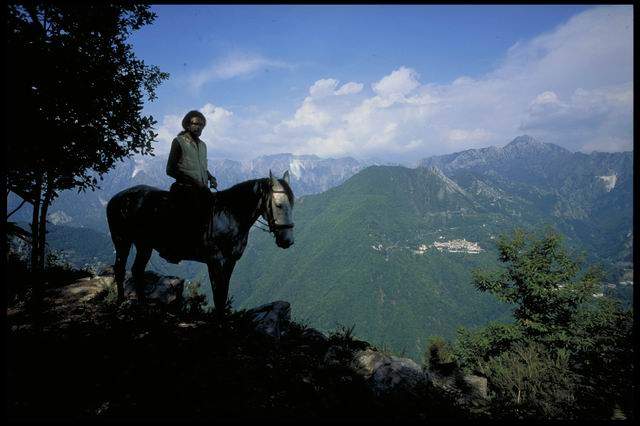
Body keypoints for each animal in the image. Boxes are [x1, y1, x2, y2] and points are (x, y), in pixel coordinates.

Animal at [105, 169, 296, 312]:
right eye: (279, 205)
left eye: (292, 204)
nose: (287, 240)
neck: (230, 215)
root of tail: (117, 198)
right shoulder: (215, 262)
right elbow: (218, 294)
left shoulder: (230, 262)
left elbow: (224, 292)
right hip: (122, 240)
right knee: (120, 269)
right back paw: (120, 301)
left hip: (144, 245)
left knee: (137, 270)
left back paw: (142, 304)